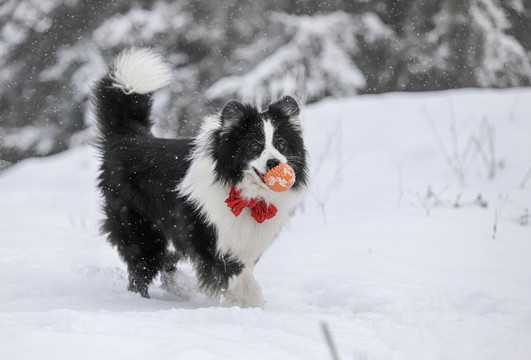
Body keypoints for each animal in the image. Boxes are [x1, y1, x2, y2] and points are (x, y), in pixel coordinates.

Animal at [91, 47, 308, 306]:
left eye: (282, 144)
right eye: (254, 146)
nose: (275, 163)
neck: (245, 194)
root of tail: (129, 137)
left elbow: (242, 274)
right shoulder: (209, 238)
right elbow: (239, 274)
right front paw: (256, 305)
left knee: (164, 263)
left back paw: (181, 290)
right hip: (138, 226)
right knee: (142, 267)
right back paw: (143, 301)